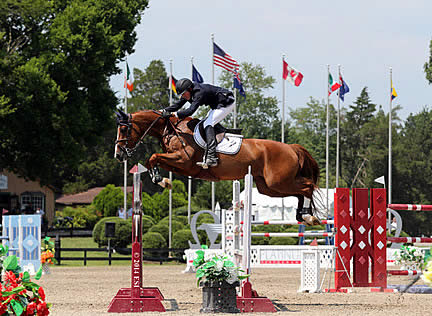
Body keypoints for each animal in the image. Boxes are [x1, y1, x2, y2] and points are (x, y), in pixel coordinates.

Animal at [115, 110, 320, 226]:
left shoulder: (183, 161)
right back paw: (304, 216)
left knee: (308, 186)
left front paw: (160, 180)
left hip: (278, 181)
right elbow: (154, 159)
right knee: (300, 191)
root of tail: (291, 148)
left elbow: (153, 157)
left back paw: (309, 217)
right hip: (269, 187)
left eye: (124, 129)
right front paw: (161, 180)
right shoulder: (182, 166)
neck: (172, 129)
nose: (118, 154)